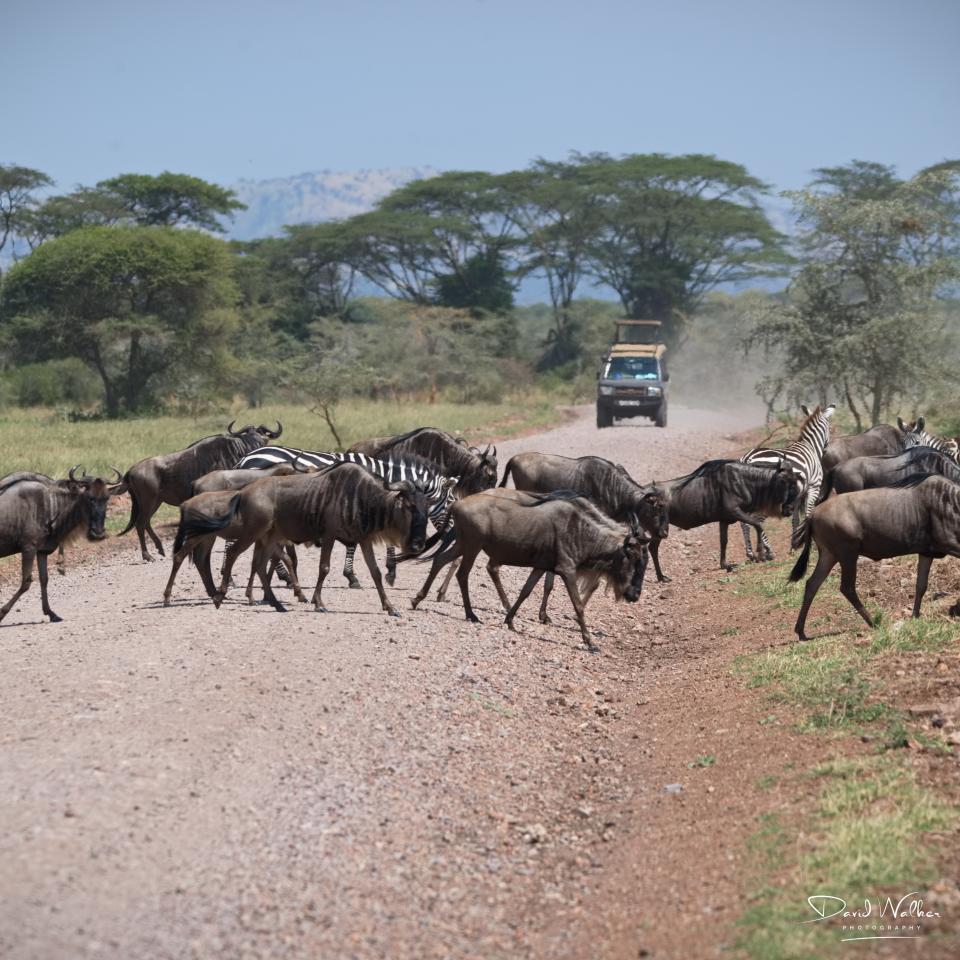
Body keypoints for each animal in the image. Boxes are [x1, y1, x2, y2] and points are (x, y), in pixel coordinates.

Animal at [235, 445, 459, 588]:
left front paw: (388, 570)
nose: (452, 532)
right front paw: (357, 576)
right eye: (450, 501)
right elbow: (358, 545)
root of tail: (246, 457)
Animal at [737, 403, 836, 562]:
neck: (811, 446)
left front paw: (794, 546)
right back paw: (768, 552)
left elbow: (795, 519)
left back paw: (751, 553)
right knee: (757, 520)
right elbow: (808, 515)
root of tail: (747, 458)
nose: (826, 448)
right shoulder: (813, 487)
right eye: (829, 428)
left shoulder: (798, 494)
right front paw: (810, 546)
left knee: (744, 521)